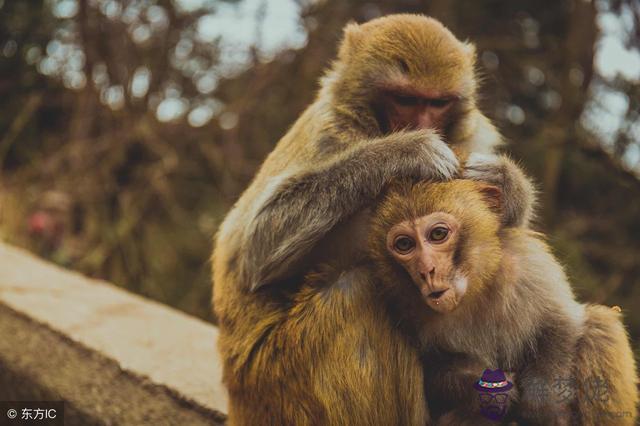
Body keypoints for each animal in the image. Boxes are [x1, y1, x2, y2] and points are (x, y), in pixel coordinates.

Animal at [212, 14, 532, 426]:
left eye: (438, 102)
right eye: (406, 99)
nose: (423, 124)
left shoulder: (472, 140)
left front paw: (508, 184)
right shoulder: (330, 134)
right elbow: (254, 250)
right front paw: (405, 150)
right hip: (275, 384)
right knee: (358, 290)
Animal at [368, 181, 636, 426]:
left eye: (437, 234)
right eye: (405, 244)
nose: (426, 271)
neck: (474, 288)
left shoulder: (528, 264)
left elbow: (562, 324)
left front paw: (543, 404)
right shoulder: (404, 305)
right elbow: (436, 370)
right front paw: (491, 392)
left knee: (599, 326)